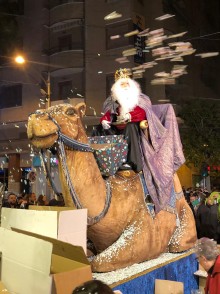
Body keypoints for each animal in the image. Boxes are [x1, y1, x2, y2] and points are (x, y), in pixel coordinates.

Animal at [26, 102, 197, 272]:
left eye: (70, 111)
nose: (35, 117)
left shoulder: (146, 232)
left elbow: (98, 262)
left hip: (184, 213)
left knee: (177, 243)